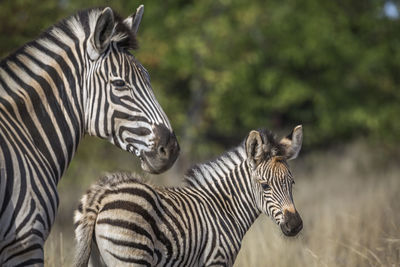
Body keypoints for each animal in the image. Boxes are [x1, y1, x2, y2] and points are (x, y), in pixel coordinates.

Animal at [74, 126, 304, 267]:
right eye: (265, 186)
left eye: (292, 183)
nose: (295, 225)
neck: (225, 208)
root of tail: (103, 195)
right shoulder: (216, 259)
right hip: (131, 255)